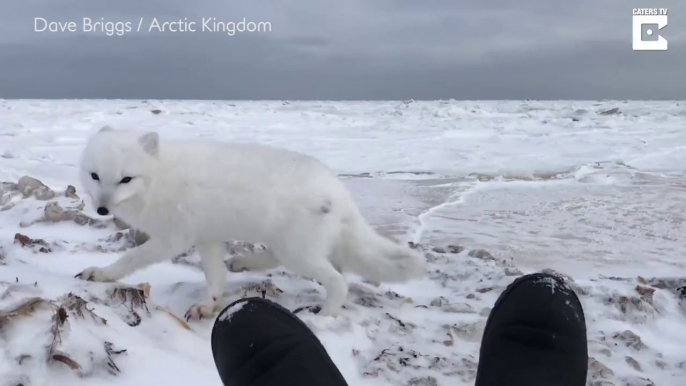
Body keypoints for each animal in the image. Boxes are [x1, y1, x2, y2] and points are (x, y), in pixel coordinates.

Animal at [78, 128, 428, 318]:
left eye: (126, 179)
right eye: (94, 176)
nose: (102, 209)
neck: (159, 178)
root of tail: (341, 195)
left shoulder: (174, 237)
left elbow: (131, 258)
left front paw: (102, 273)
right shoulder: (206, 236)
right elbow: (214, 275)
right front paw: (209, 304)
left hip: (298, 252)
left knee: (338, 281)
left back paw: (324, 316)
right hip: (286, 245)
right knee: (273, 257)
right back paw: (243, 262)